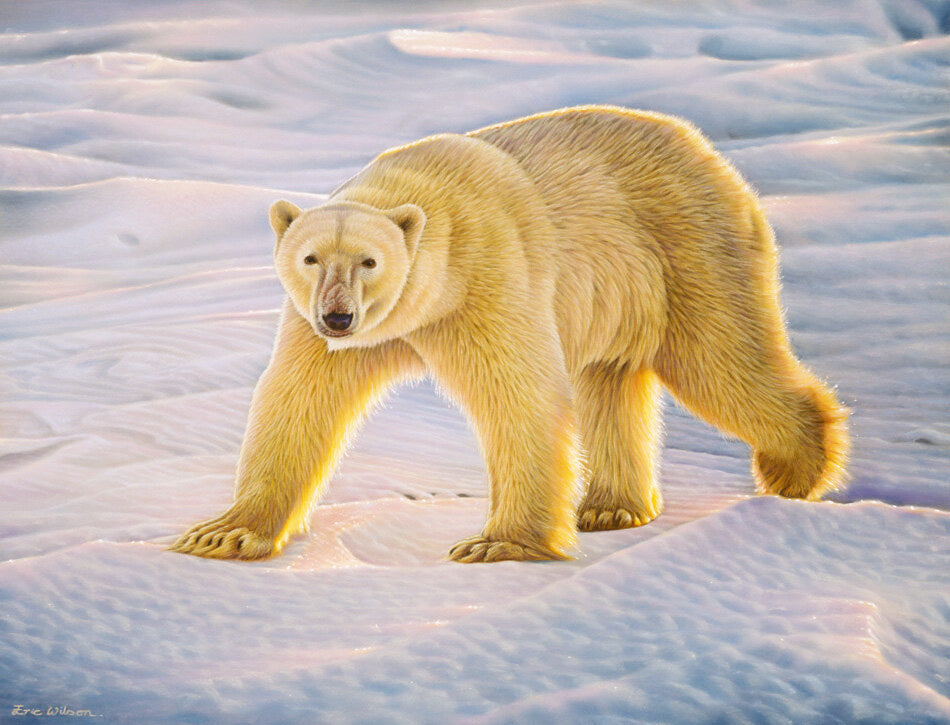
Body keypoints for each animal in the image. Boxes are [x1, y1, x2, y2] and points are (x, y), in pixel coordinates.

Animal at [171, 105, 849, 563]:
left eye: (370, 260)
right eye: (310, 258)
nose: (338, 317)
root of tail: (701, 144)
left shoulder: (486, 279)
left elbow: (516, 392)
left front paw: (499, 544)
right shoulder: (329, 332)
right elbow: (298, 400)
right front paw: (223, 532)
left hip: (685, 247)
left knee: (719, 361)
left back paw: (796, 467)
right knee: (610, 381)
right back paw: (611, 505)